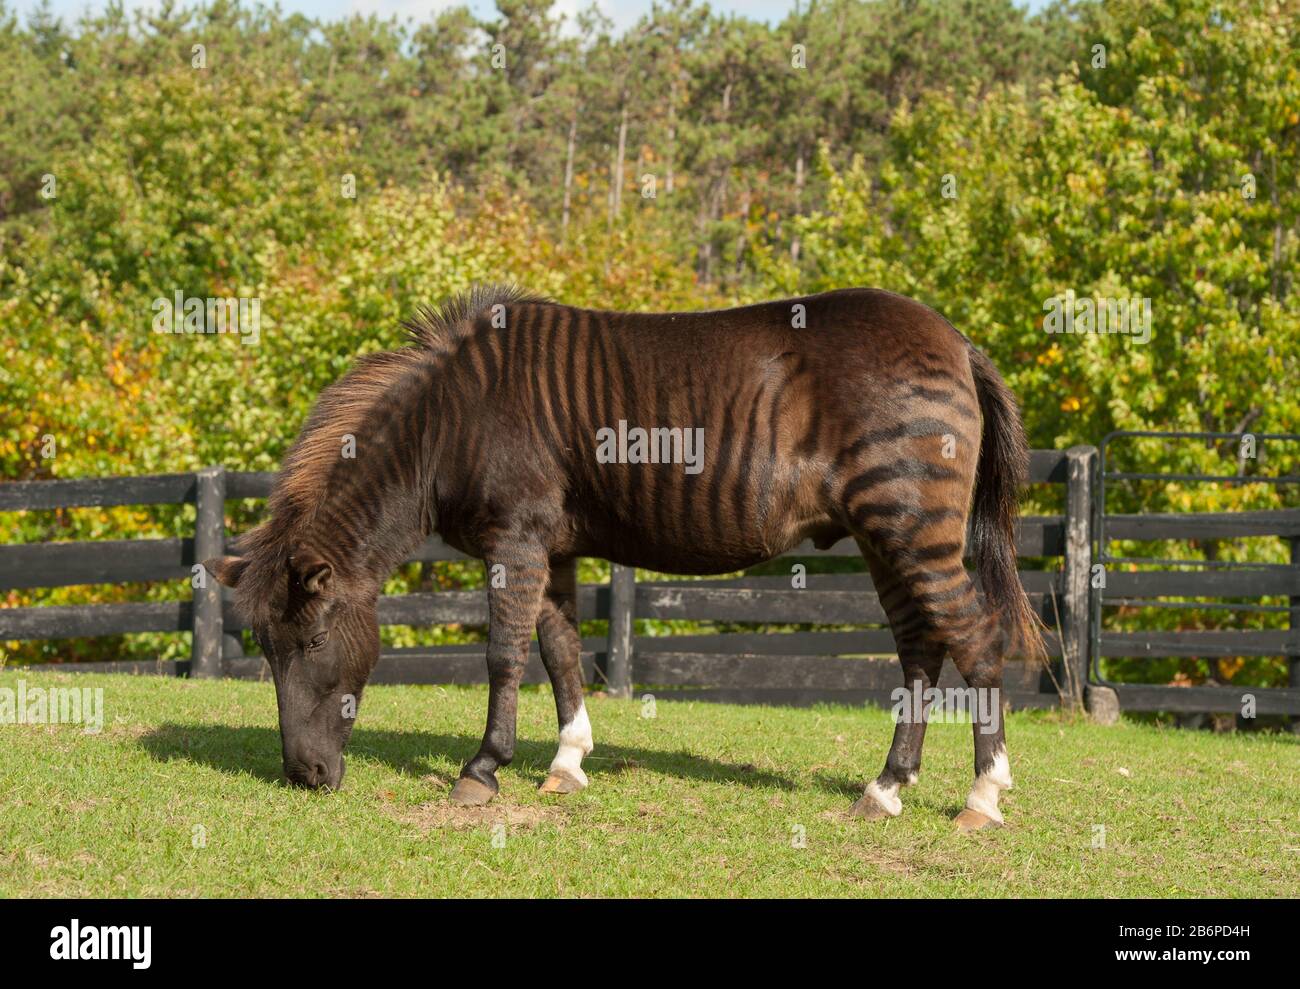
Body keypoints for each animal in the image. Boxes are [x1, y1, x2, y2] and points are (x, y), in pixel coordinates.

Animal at [205, 284, 1044, 831]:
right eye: (263, 649)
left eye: (313, 639)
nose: (303, 778)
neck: (453, 420)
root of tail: (957, 341)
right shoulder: (552, 545)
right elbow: (559, 651)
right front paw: (566, 763)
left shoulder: (515, 537)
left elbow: (504, 653)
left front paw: (482, 770)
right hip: (885, 533)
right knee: (920, 648)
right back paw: (887, 788)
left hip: (908, 521)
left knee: (975, 639)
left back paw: (983, 797)